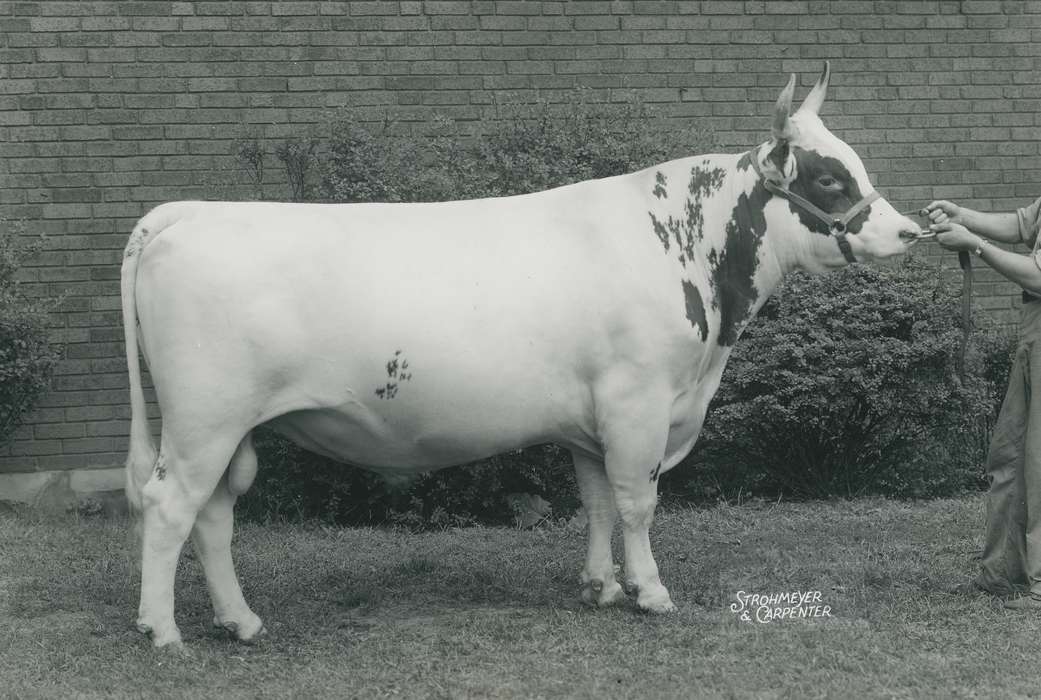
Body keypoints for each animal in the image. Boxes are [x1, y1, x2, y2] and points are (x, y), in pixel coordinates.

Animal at [121, 63, 920, 649]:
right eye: (828, 178)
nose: (910, 232)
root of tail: (186, 213)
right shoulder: (638, 401)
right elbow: (638, 501)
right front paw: (651, 592)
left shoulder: (592, 419)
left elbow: (596, 500)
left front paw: (601, 586)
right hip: (204, 419)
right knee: (170, 507)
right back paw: (162, 631)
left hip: (228, 428)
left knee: (214, 515)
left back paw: (240, 620)